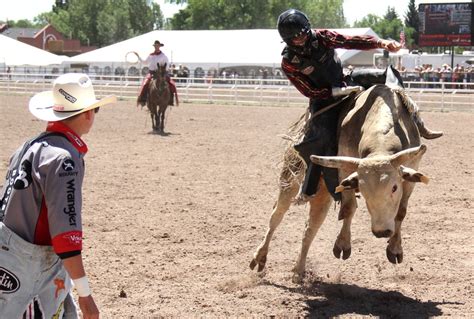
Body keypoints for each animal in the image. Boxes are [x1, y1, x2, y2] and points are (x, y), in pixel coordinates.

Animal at [252, 84, 434, 282]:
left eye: (394, 187)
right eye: (362, 188)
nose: (381, 232)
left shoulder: (410, 174)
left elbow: (401, 211)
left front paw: (394, 248)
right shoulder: (345, 170)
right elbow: (348, 208)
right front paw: (342, 245)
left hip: (322, 193)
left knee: (310, 227)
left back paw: (298, 271)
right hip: (292, 176)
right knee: (277, 215)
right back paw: (260, 257)